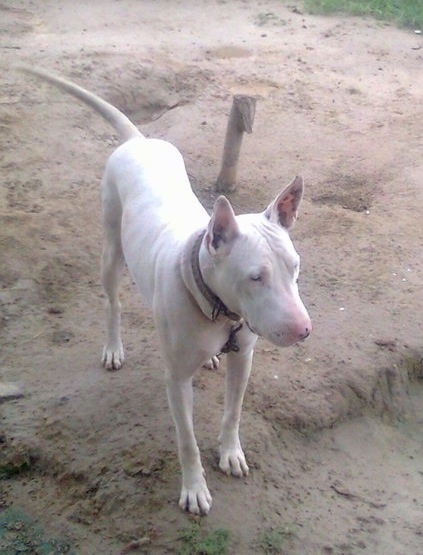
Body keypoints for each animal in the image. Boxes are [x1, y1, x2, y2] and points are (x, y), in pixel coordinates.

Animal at [19, 67, 312, 516]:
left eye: (294, 268)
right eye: (255, 277)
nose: (303, 331)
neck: (213, 304)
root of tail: (139, 140)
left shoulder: (243, 357)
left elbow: (233, 412)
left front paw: (231, 452)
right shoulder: (175, 380)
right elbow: (187, 440)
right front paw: (194, 488)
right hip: (111, 251)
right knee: (113, 303)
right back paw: (113, 348)